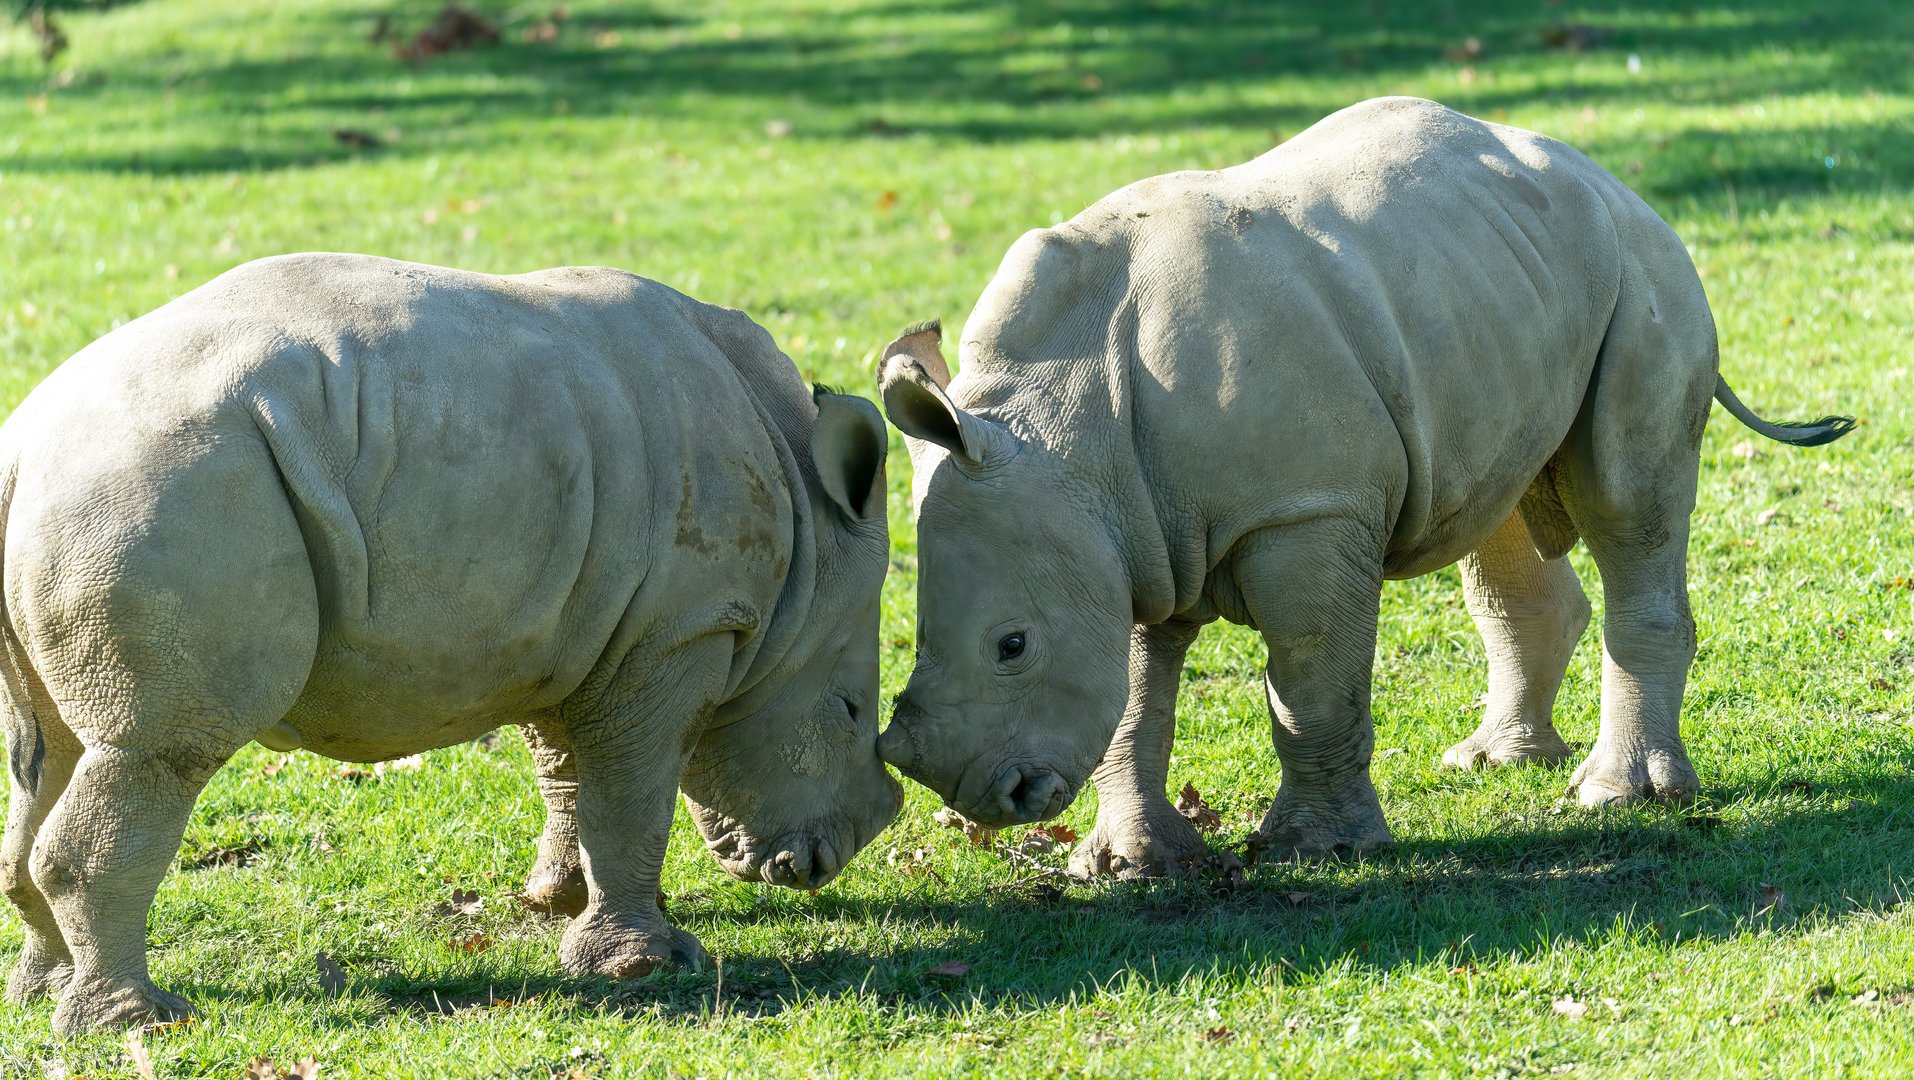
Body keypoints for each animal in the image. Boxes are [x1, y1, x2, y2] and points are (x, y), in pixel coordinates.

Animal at [0, 254, 901, 1033]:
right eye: (851, 711)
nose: (825, 862)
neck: (812, 537)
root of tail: (21, 449)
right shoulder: (680, 626)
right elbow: (634, 788)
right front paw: (645, 966)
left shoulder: (576, 620)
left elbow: (570, 768)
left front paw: (556, 903)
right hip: (157, 491)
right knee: (159, 749)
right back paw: (139, 1020)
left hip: (107, 496)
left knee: (51, 754)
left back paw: (44, 994)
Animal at [875, 97, 1852, 879]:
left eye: (1011, 646)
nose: (982, 795)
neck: (1067, 434)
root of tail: (1615, 183)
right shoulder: (1133, 538)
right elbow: (1132, 697)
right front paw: (1128, 867)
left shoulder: (1304, 513)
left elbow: (1311, 682)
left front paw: (1318, 852)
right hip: (1494, 287)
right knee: (1496, 519)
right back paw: (1496, 763)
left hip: (1645, 275)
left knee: (1628, 509)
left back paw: (1617, 796)